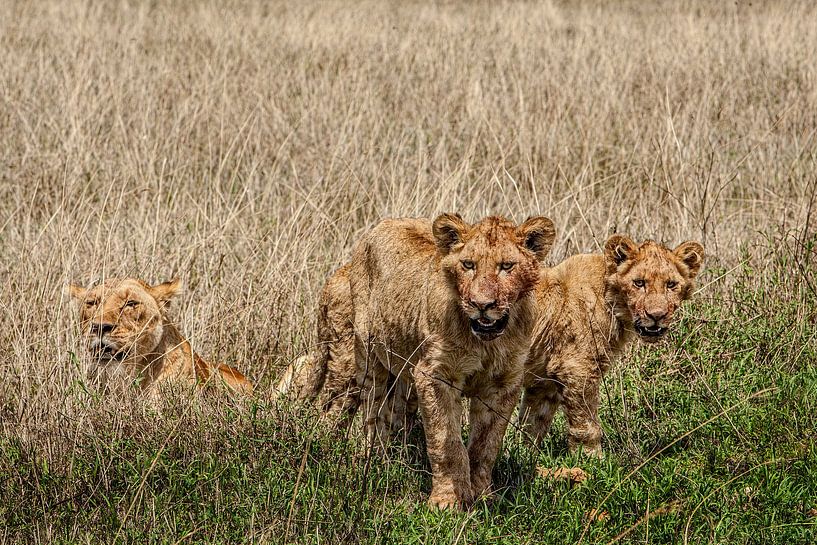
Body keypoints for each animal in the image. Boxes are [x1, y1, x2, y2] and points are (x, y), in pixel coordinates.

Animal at [519, 235, 704, 456]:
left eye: (671, 284)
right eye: (639, 283)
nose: (656, 316)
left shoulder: (542, 380)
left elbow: (532, 424)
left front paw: (524, 456)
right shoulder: (576, 368)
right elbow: (587, 424)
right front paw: (591, 457)